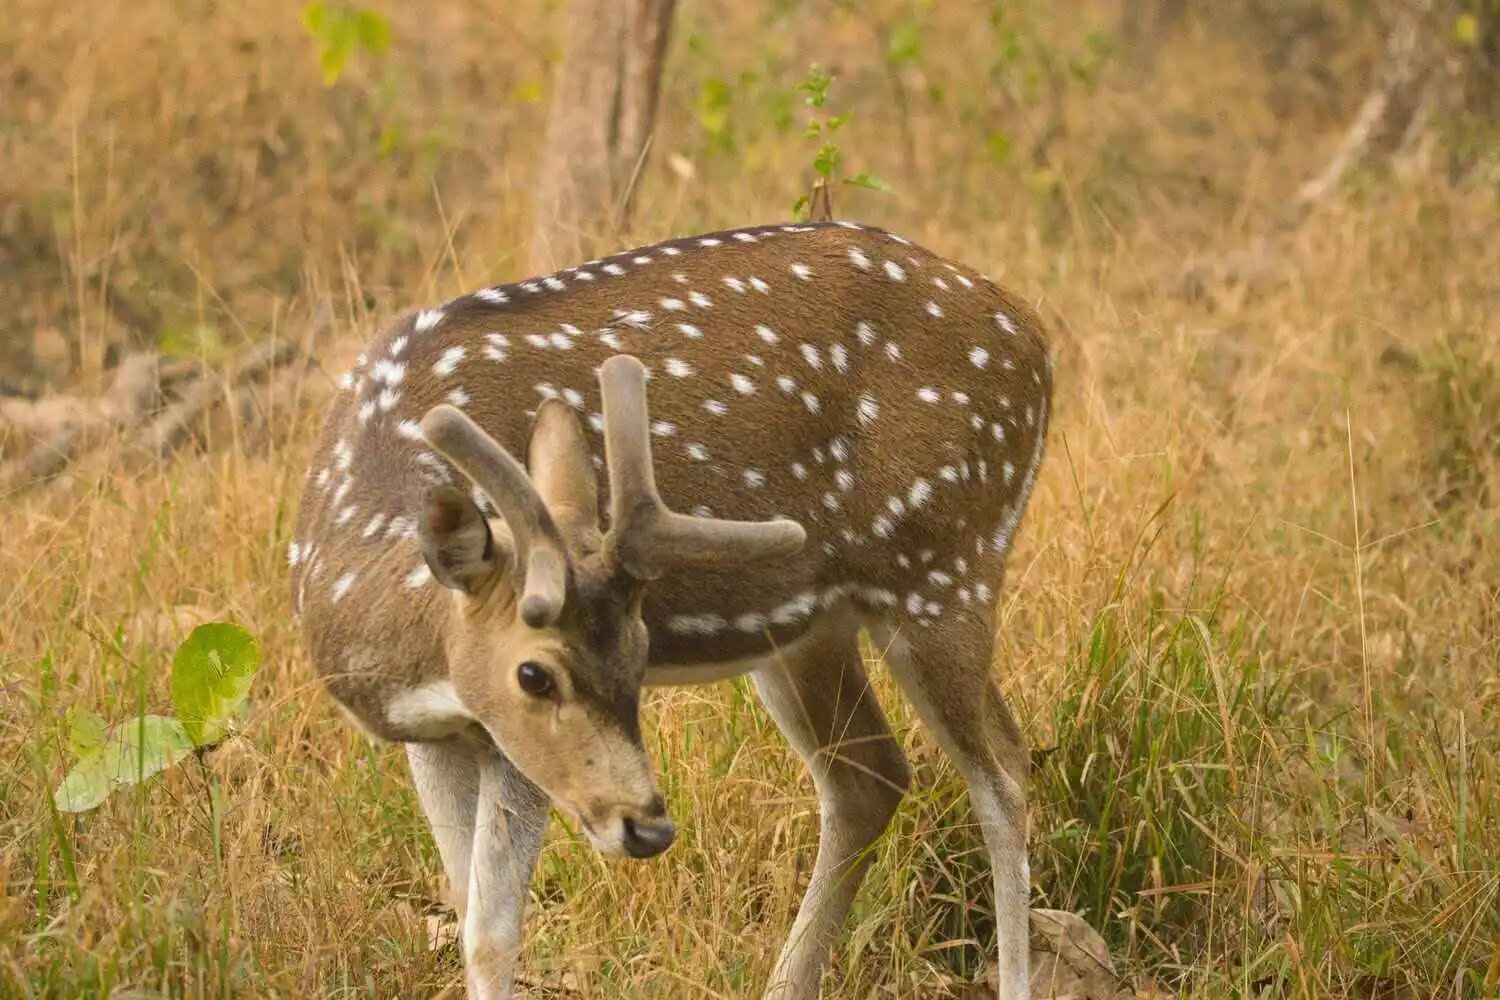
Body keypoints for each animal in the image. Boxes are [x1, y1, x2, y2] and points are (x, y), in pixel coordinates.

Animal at [289, 220, 1056, 1000]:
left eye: (640, 652)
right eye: (534, 674)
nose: (650, 827)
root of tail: (1032, 334)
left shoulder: (506, 745)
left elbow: (490, 935)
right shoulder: (441, 734)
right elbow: (462, 897)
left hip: (945, 562)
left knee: (1001, 771)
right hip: (810, 625)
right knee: (871, 776)